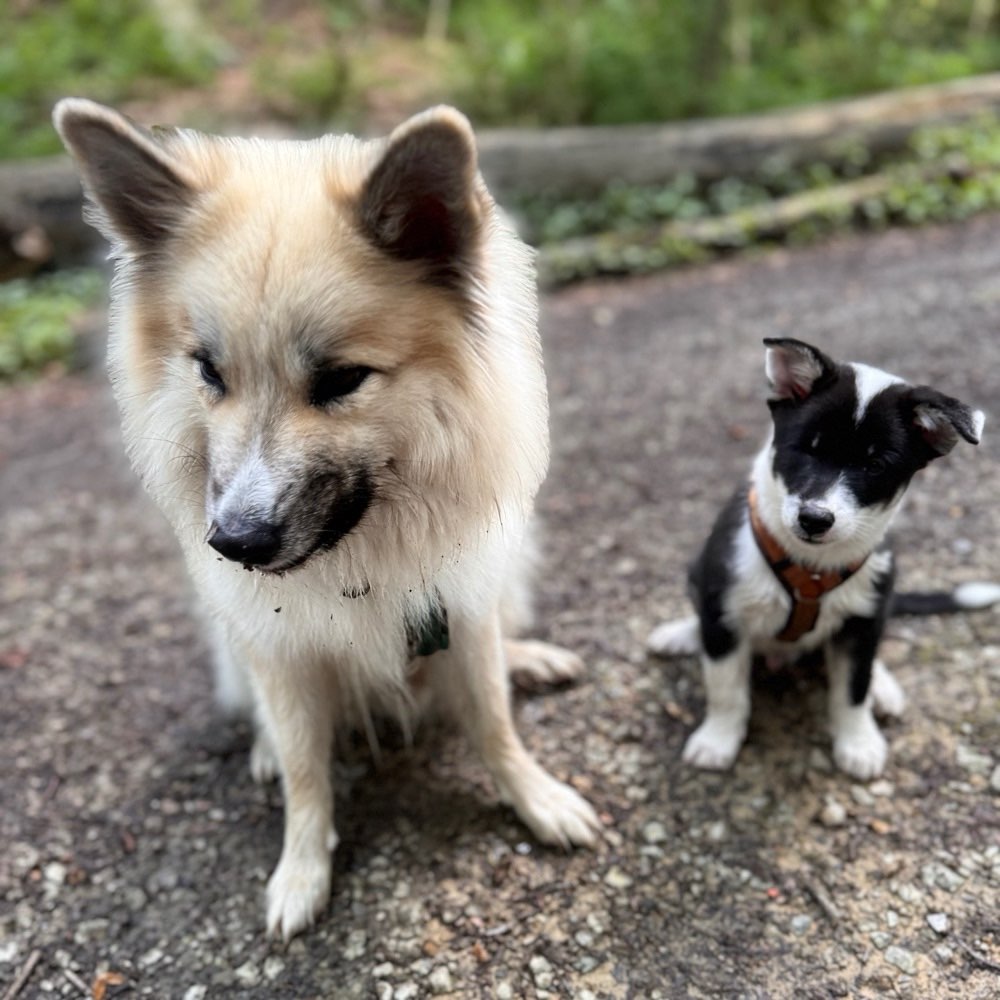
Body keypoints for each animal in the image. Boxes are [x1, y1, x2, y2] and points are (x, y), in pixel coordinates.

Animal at [54, 99, 596, 936]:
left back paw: (527, 658)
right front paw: (302, 870)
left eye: (342, 379)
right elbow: (307, 769)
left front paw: (536, 798)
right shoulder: (279, 650)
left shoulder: (462, 607)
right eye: (208, 371)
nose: (235, 543)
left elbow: (494, 722)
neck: (358, 560)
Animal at [648, 340, 992, 784]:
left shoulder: (864, 617)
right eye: (806, 449)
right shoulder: (724, 603)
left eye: (874, 466)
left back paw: (883, 687)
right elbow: (726, 686)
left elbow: (853, 688)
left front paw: (859, 743)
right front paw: (717, 740)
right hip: (700, 571)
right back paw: (681, 635)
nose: (814, 519)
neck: (811, 565)